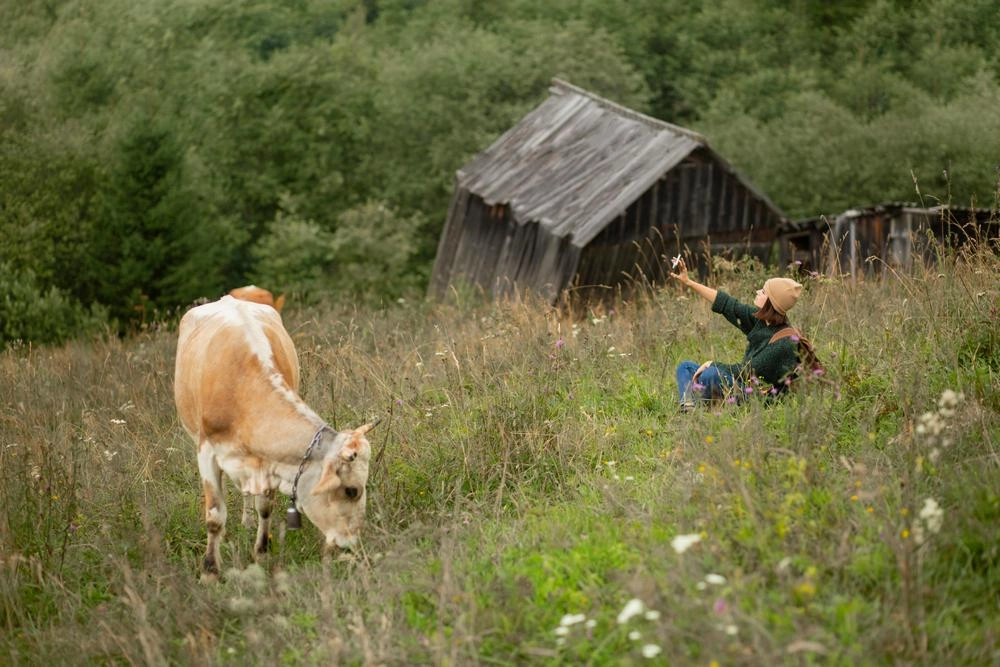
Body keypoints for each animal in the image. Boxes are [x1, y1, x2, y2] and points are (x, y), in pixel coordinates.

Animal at [174, 295, 374, 577]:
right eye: (351, 490)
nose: (352, 544)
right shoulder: (206, 452)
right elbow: (214, 515)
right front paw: (210, 570)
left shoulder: (268, 460)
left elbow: (265, 507)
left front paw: (261, 553)